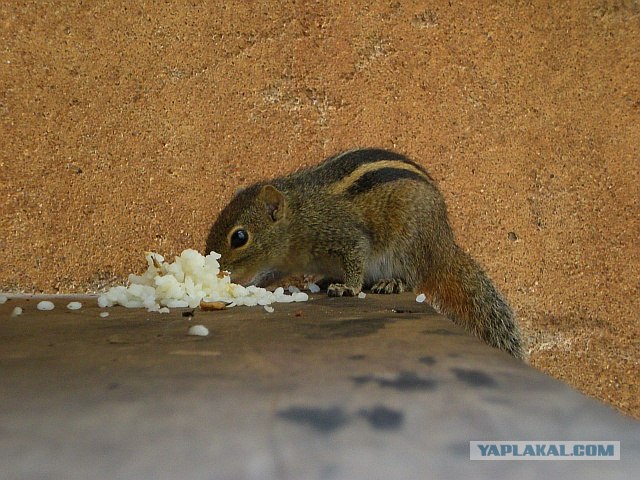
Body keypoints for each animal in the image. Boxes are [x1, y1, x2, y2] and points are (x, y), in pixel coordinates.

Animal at [205, 148, 524, 358]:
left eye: (240, 237)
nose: (216, 268)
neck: (300, 215)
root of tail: (444, 245)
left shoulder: (345, 236)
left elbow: (356, 259)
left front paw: (348, 287)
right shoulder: (280, 264)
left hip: (408, 246)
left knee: (412, 277)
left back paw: (391, 283)